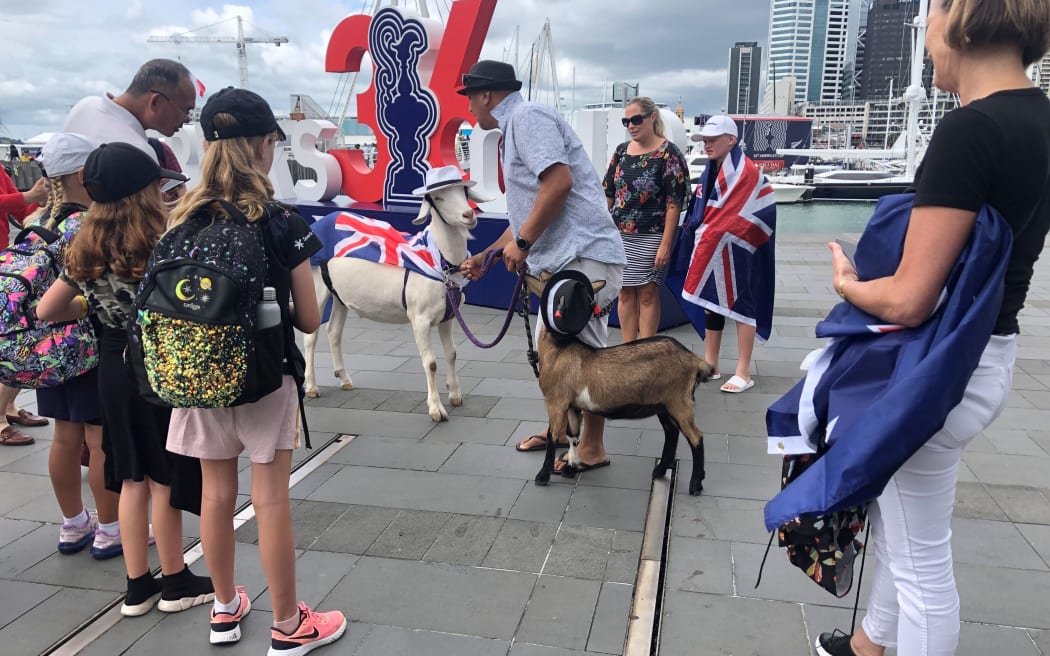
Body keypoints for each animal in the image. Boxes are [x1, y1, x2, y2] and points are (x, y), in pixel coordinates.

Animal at [302, 181, 485, 421]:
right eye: (438, 198)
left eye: (464, 191)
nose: (468, 215)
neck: (441, 262)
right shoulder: (419, 318)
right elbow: (431, 363)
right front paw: (436, 410)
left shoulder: (447, 316)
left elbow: (452, 353)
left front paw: (455, 396)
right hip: (316, 286)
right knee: (310, 336)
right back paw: (312, 387)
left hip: (339, 294)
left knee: (333, 331)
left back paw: (344, 379)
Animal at [525, 272, 713, 493]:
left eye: (546, 280)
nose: (538, 272)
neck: (558, 349)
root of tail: (694, 360)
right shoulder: (572, 405)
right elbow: (572, 435)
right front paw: (571, 467)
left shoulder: (555, 401)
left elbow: (552, 435)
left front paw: (542, 475)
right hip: (663, 403)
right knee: (672, 431)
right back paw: (660, 470)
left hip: (679, 400)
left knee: (696, 436)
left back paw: (696, 483)